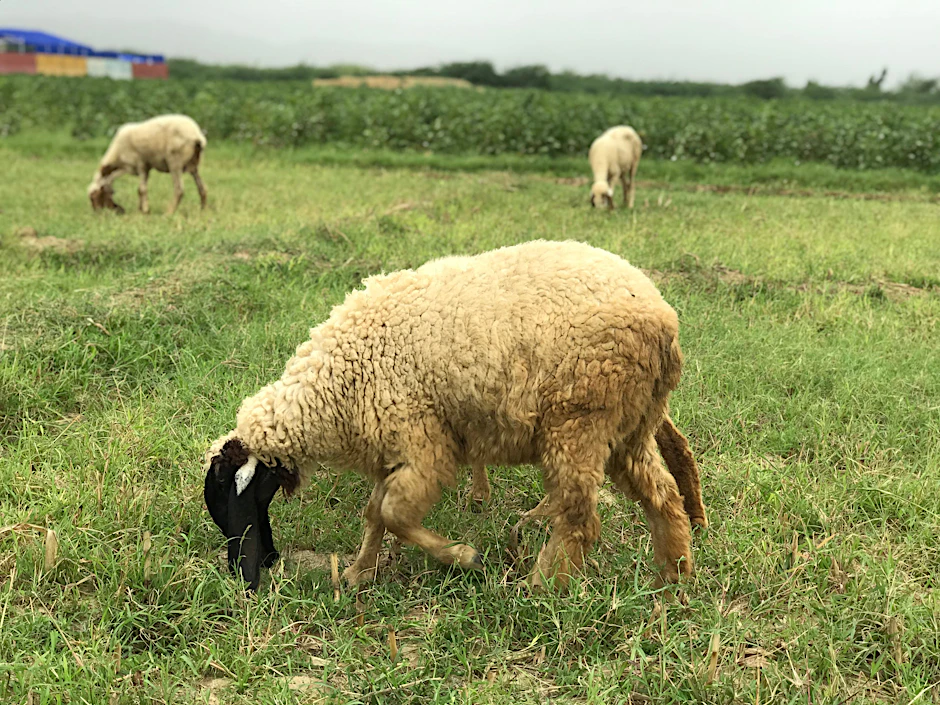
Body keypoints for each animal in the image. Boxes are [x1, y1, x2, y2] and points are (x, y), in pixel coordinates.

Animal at [203, 239, 705, 592]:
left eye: (236, 499)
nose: (247, 575)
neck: (337, 383)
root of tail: (665, 320)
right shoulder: (396, 450)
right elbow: (375, 513)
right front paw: (358, 573)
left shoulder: (425, 445)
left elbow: (394, 514)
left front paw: (464, 557)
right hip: (627, 426)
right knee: (662, 495)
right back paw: (673, 577)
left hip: (580, 418)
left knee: (581, 516)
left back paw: (543, 586)